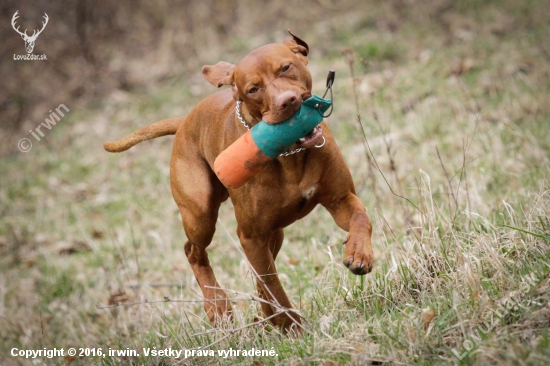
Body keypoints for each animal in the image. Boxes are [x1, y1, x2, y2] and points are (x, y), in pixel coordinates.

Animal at [104, 30, 376, 330]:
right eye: (253, 89)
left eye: (286, 67)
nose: (288, 101)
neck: (290, 154)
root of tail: (185, 120)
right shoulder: (250, 236)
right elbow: (271, 284)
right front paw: (291, 326)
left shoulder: (340, 199)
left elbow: (361, 217)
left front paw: (360, 253)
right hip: (200, 214)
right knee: (193, 250)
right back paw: (218, 308)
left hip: (273, 233)